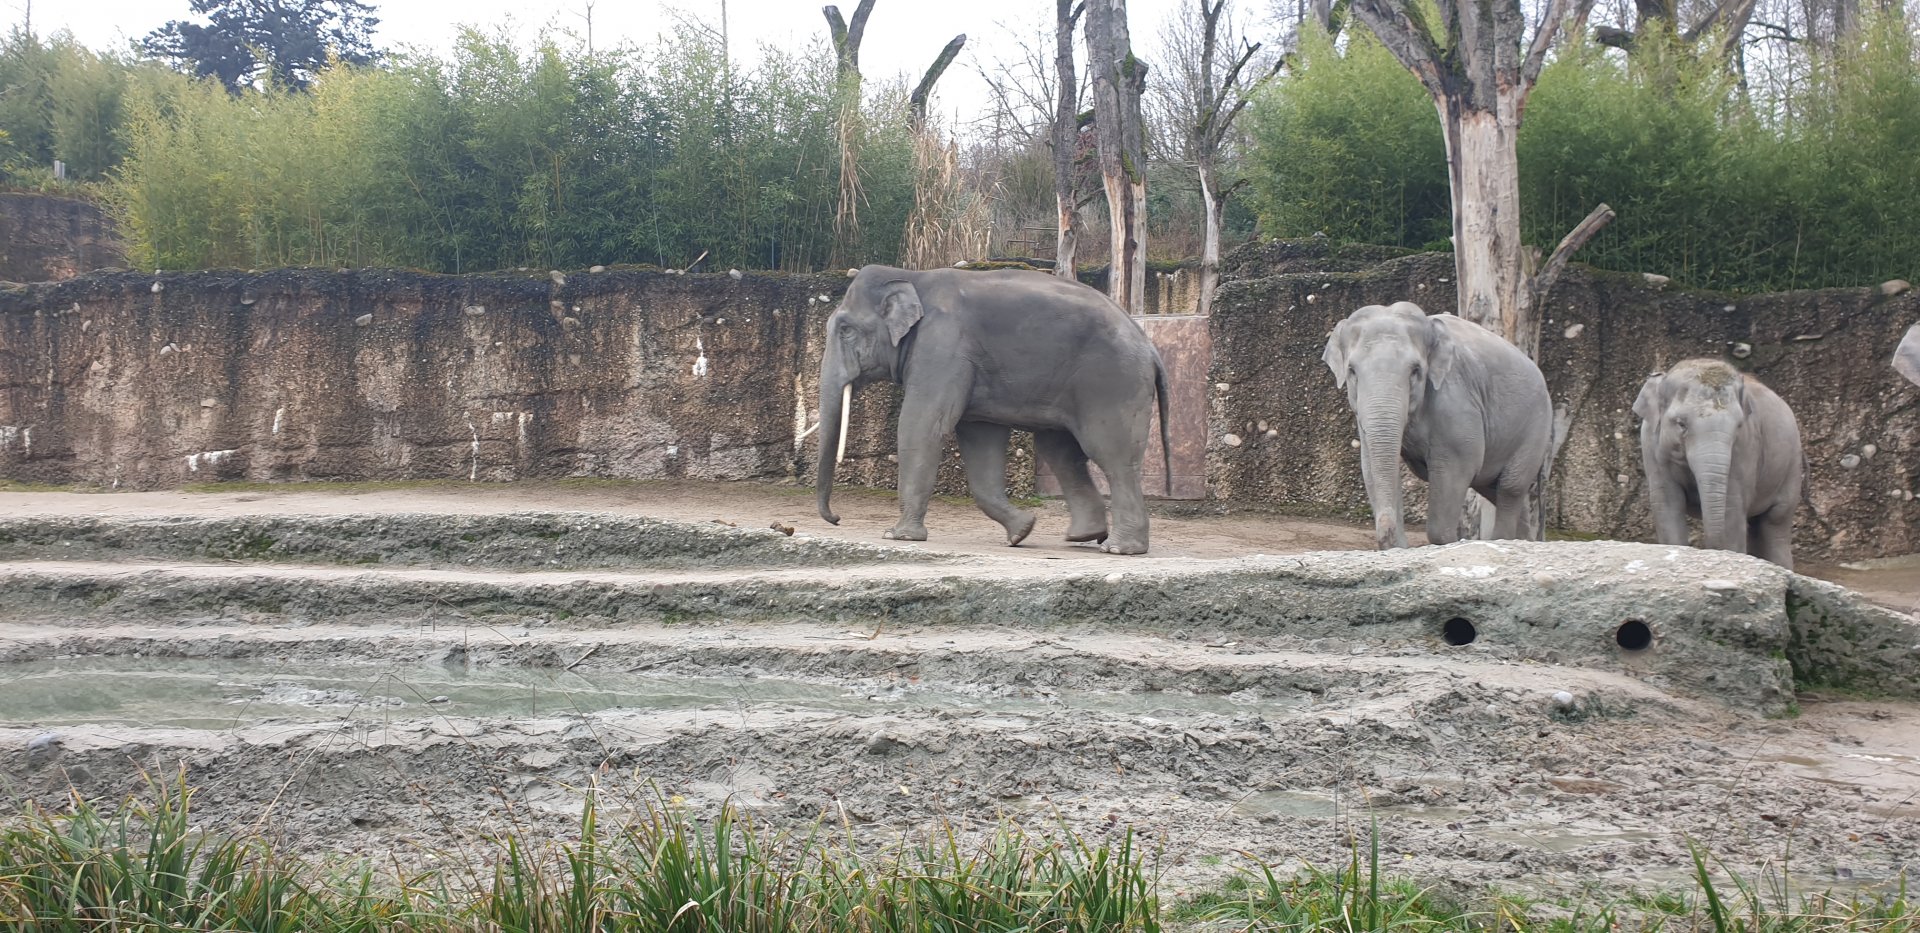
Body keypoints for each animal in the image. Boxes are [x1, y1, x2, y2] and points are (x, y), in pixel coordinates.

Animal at [813, 264, 1171, 554]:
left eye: (845, 330)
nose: (836, 519)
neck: (911, 276)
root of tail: (1150, 347)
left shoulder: (942, 345)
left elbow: (923, 425)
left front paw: (897, 536)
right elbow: (979, 439)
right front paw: (1021, 532)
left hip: (1112, 382)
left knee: (1112, 456)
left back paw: (1120, 549)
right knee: (1062, 453)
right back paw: (1083, 536)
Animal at [1321, 302, 1554, 549]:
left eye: (1415, 370)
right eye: (1351, 371)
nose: (1387, 537)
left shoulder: (1455, 399)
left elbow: (1460, 463)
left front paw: (1450, 542)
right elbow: (1369, 466)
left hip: (1536, 426)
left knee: (1510, 487)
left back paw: (1504, 539)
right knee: (1493, 488)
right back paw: (1525, 540)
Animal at [1634, 359, 1804, 569]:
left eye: (1738, 426)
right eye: (1681, 424)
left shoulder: (1746, 446)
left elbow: (1732, 507)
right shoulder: (1650, 443)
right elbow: (1667, 502)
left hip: (1792, 466)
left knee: (1775, 523)